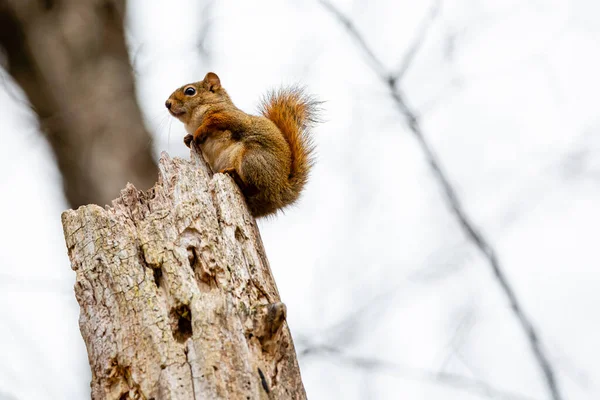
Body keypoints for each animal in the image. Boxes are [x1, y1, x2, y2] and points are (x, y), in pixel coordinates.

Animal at [164, 72, 318, 219]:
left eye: (190, 91)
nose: (167, 103)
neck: (192, 120)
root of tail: (280, 191)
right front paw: (187, 138)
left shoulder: (229, 116)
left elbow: (213, 122)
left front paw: (198, 133)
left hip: (251, 159)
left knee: (253, 188)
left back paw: (235, 175)